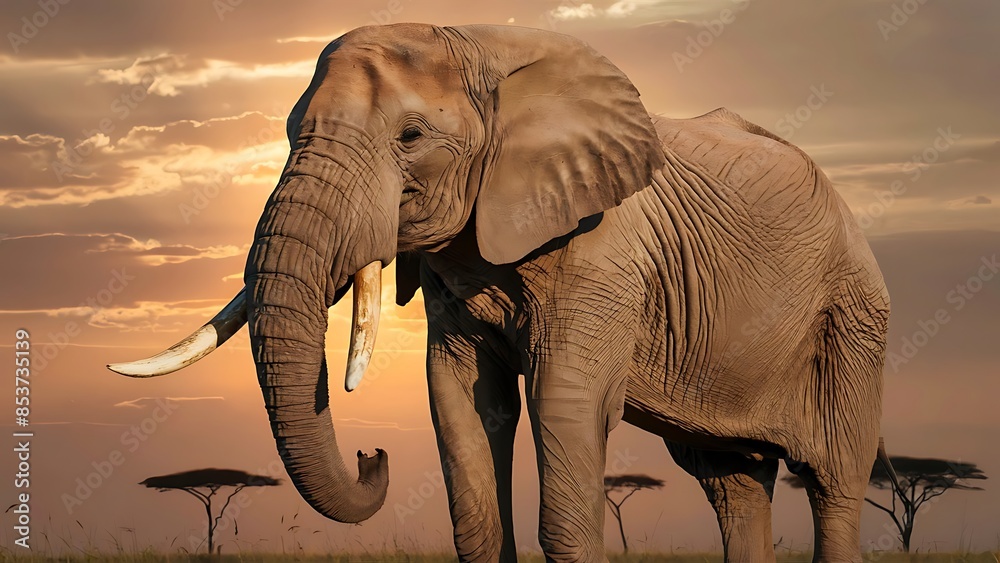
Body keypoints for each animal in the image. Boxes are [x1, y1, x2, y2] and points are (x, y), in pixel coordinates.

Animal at [109, 23, 891, 562]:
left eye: (411, 136)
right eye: (290, 131)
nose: (371, 455)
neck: (486, 47)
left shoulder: (603, 253)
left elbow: (563, 404)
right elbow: (462, 400)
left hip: (851, 324)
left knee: (832, 485)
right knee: (732, 481)